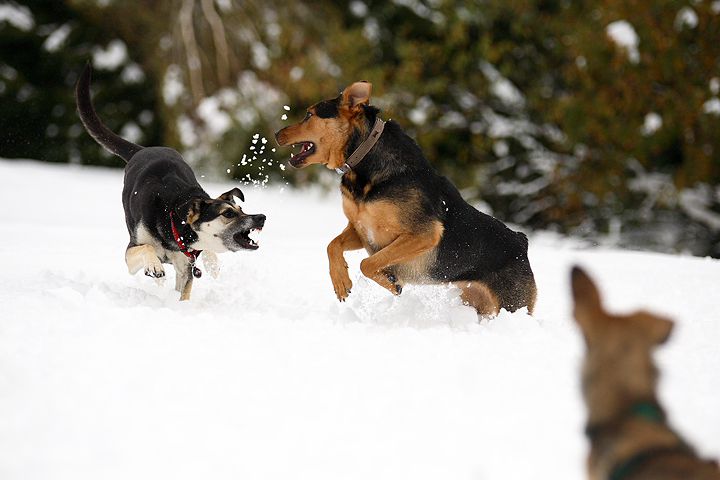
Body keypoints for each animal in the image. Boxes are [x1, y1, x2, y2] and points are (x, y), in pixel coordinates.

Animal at [75, 62, 264, 298]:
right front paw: (154, 266)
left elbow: (184, 292)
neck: (175, 219)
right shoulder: (132, 250)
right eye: (228, 214)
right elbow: (147, 249)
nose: (261, 218)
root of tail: (143, 149)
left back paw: (212, 262)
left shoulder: (186, 266)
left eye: (241, 209)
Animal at [276, 81, 536, 316]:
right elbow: (332, 245)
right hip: (478, 303)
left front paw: (392, 282)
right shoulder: (361, 228)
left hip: (512, 303)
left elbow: (367, 264)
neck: (364, 160)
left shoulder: (423, 234)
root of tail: (521, 242)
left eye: (309, 114)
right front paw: (341, 282)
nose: (277, 134)